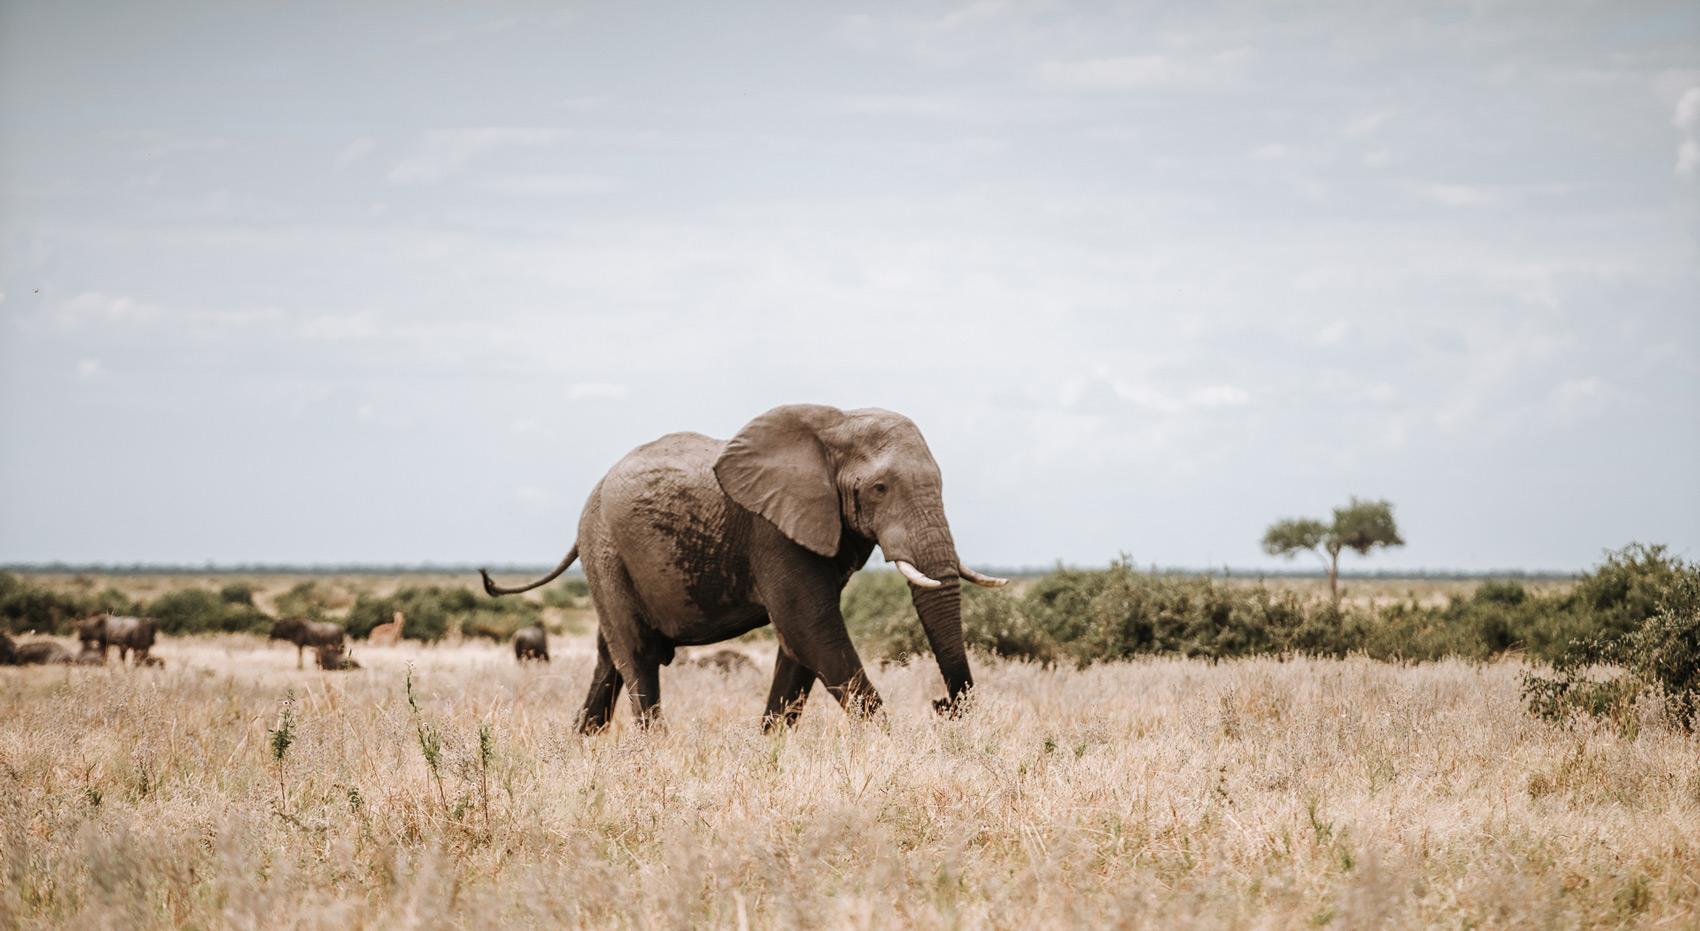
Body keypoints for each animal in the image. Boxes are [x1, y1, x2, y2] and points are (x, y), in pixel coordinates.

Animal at [480, 404, 1006, 733]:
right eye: (879, 489)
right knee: (638, 657)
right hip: (606, 551)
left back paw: (580, 745)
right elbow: (812, 629)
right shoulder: (772, 531)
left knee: (609, 658)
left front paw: (768, 750)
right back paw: (654, 754)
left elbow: (798, 647)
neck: (835, 424)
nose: (942, 705)